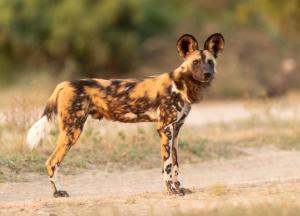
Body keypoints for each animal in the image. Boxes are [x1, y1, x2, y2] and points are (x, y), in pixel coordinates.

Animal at [27, 33, 225, 197]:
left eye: (210, 62)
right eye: (195, 62)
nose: (207, 74)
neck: (181, 85)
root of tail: (64, 83)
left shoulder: (175, 131)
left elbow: (175, 165)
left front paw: (180, 188)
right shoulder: (164, 128)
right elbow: (167, 166)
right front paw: (171, 191)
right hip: (72, 131)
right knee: (51, 162)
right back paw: (58, 192)